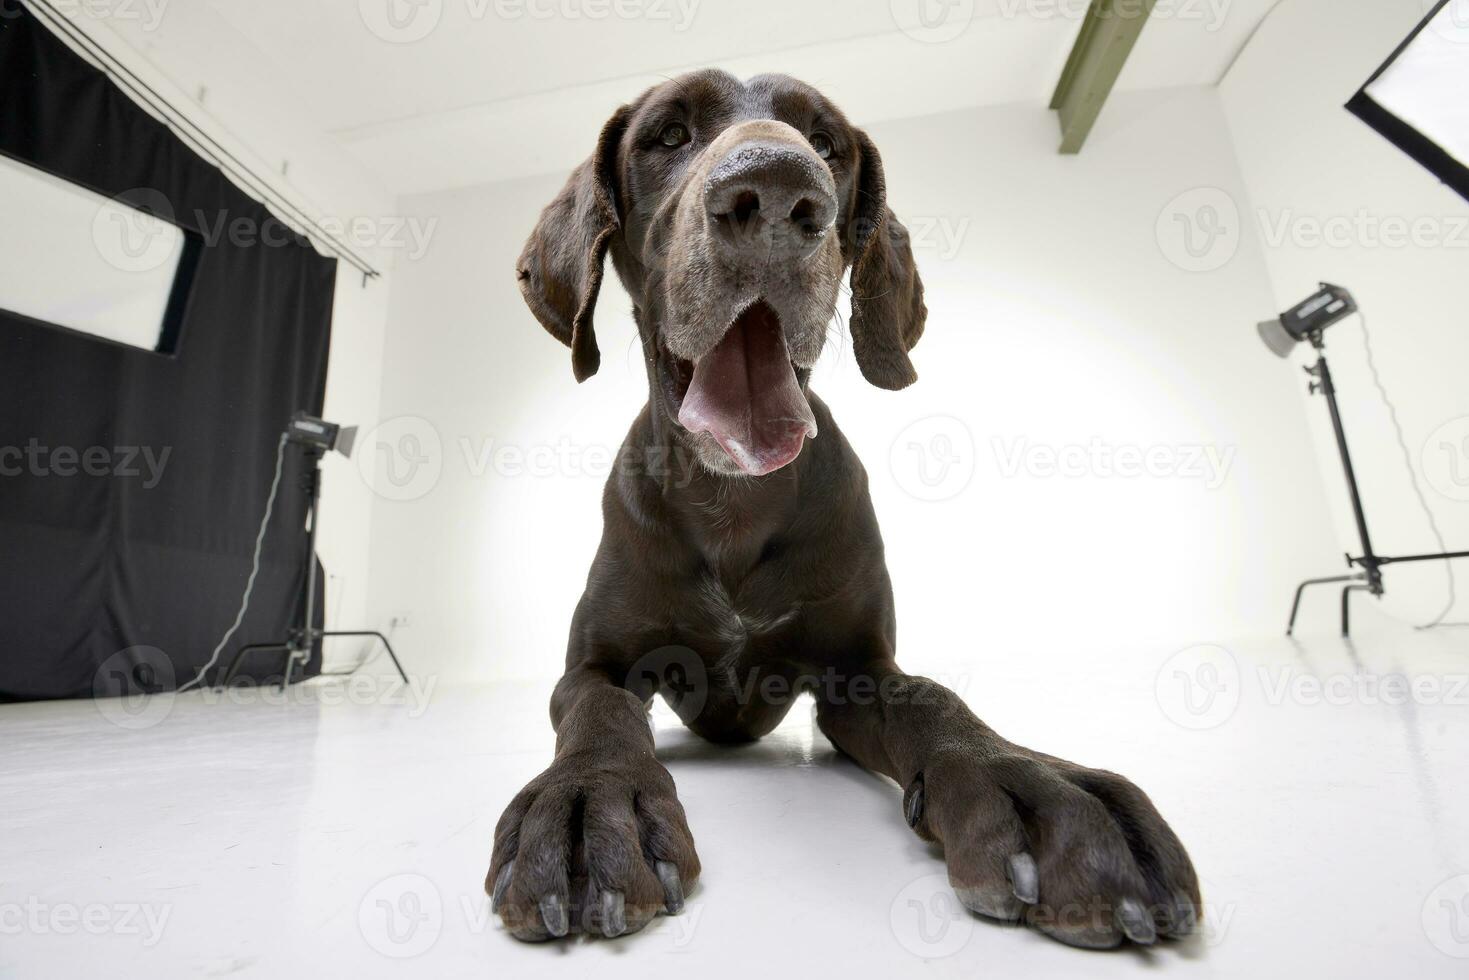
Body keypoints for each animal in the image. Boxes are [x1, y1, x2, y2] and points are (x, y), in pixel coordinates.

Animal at [487, 69, 1198, 952]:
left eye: (826, 144)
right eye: (668, 135)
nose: (775, 190)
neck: (734, 501)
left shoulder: (857, 673)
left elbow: (930, 697)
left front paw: (1035, 784)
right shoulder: (595, 664)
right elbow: (598, 712)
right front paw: (589, 803)